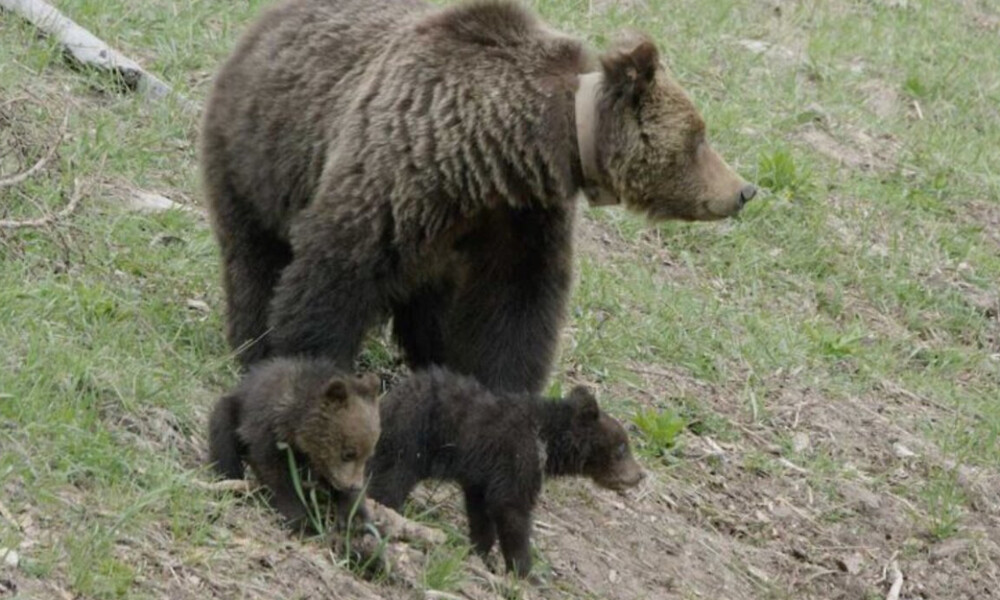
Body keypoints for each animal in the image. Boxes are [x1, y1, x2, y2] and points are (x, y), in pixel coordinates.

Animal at [201, 0, 752, 394]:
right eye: (700, 137)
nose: (744, 190)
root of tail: (261, 25)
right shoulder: (403, 175)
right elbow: (333, 274)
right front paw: (304, 366)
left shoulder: (521, 217)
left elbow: (514, 307)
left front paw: (502, 390)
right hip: (258, 155)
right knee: (256, 257)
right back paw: (252, 343)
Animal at [209, 356, 380, 528]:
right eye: (348, 454)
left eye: (368, 455)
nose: (354, 486)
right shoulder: (267, 431)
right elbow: (275, 474)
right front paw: (301, 519)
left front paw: (355, 517)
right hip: (233, 412)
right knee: (224, 443)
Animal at [364, 366, 644, 576]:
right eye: (622, 448)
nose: (640, 474)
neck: (544, 440)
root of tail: (385, 402)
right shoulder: (516, 457)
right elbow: (511, 508)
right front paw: (524, 569)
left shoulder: (483, 475)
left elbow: (481, 511)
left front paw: (480, 552)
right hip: (411, 440)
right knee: (390, 482)